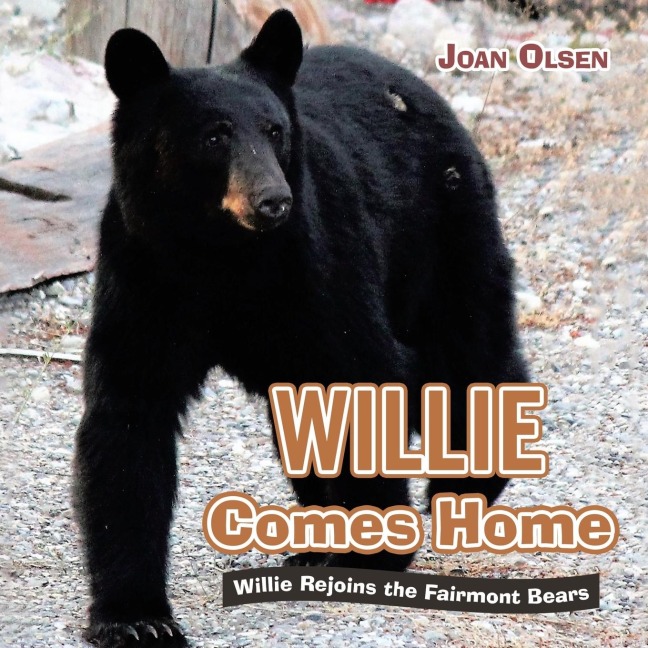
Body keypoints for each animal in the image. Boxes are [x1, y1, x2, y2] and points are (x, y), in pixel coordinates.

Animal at [73, 9, 528, 647]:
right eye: (214, 135)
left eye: (274, 130)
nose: (272, 201)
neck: (221, 257)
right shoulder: (143, 273)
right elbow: (128, 416)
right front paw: (135, 618)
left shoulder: (318, 263)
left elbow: (363, 370)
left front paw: (374, 553)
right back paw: (316, 540)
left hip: (442, 227)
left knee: (470, 346)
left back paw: (465, 486)